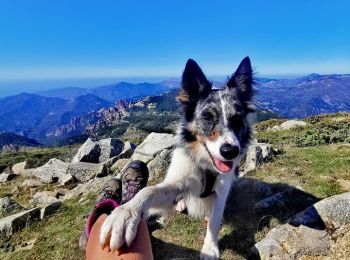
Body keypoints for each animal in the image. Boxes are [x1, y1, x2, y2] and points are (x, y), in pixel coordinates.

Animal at [100, 57, 254, 260]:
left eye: (237, 119)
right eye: (207, 117)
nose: (230, 151)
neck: (206, 166)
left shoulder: (222, 190)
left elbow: (215, 220)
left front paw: (210, 248)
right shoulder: (178, 180)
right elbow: (148, 191)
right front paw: (125, 214)